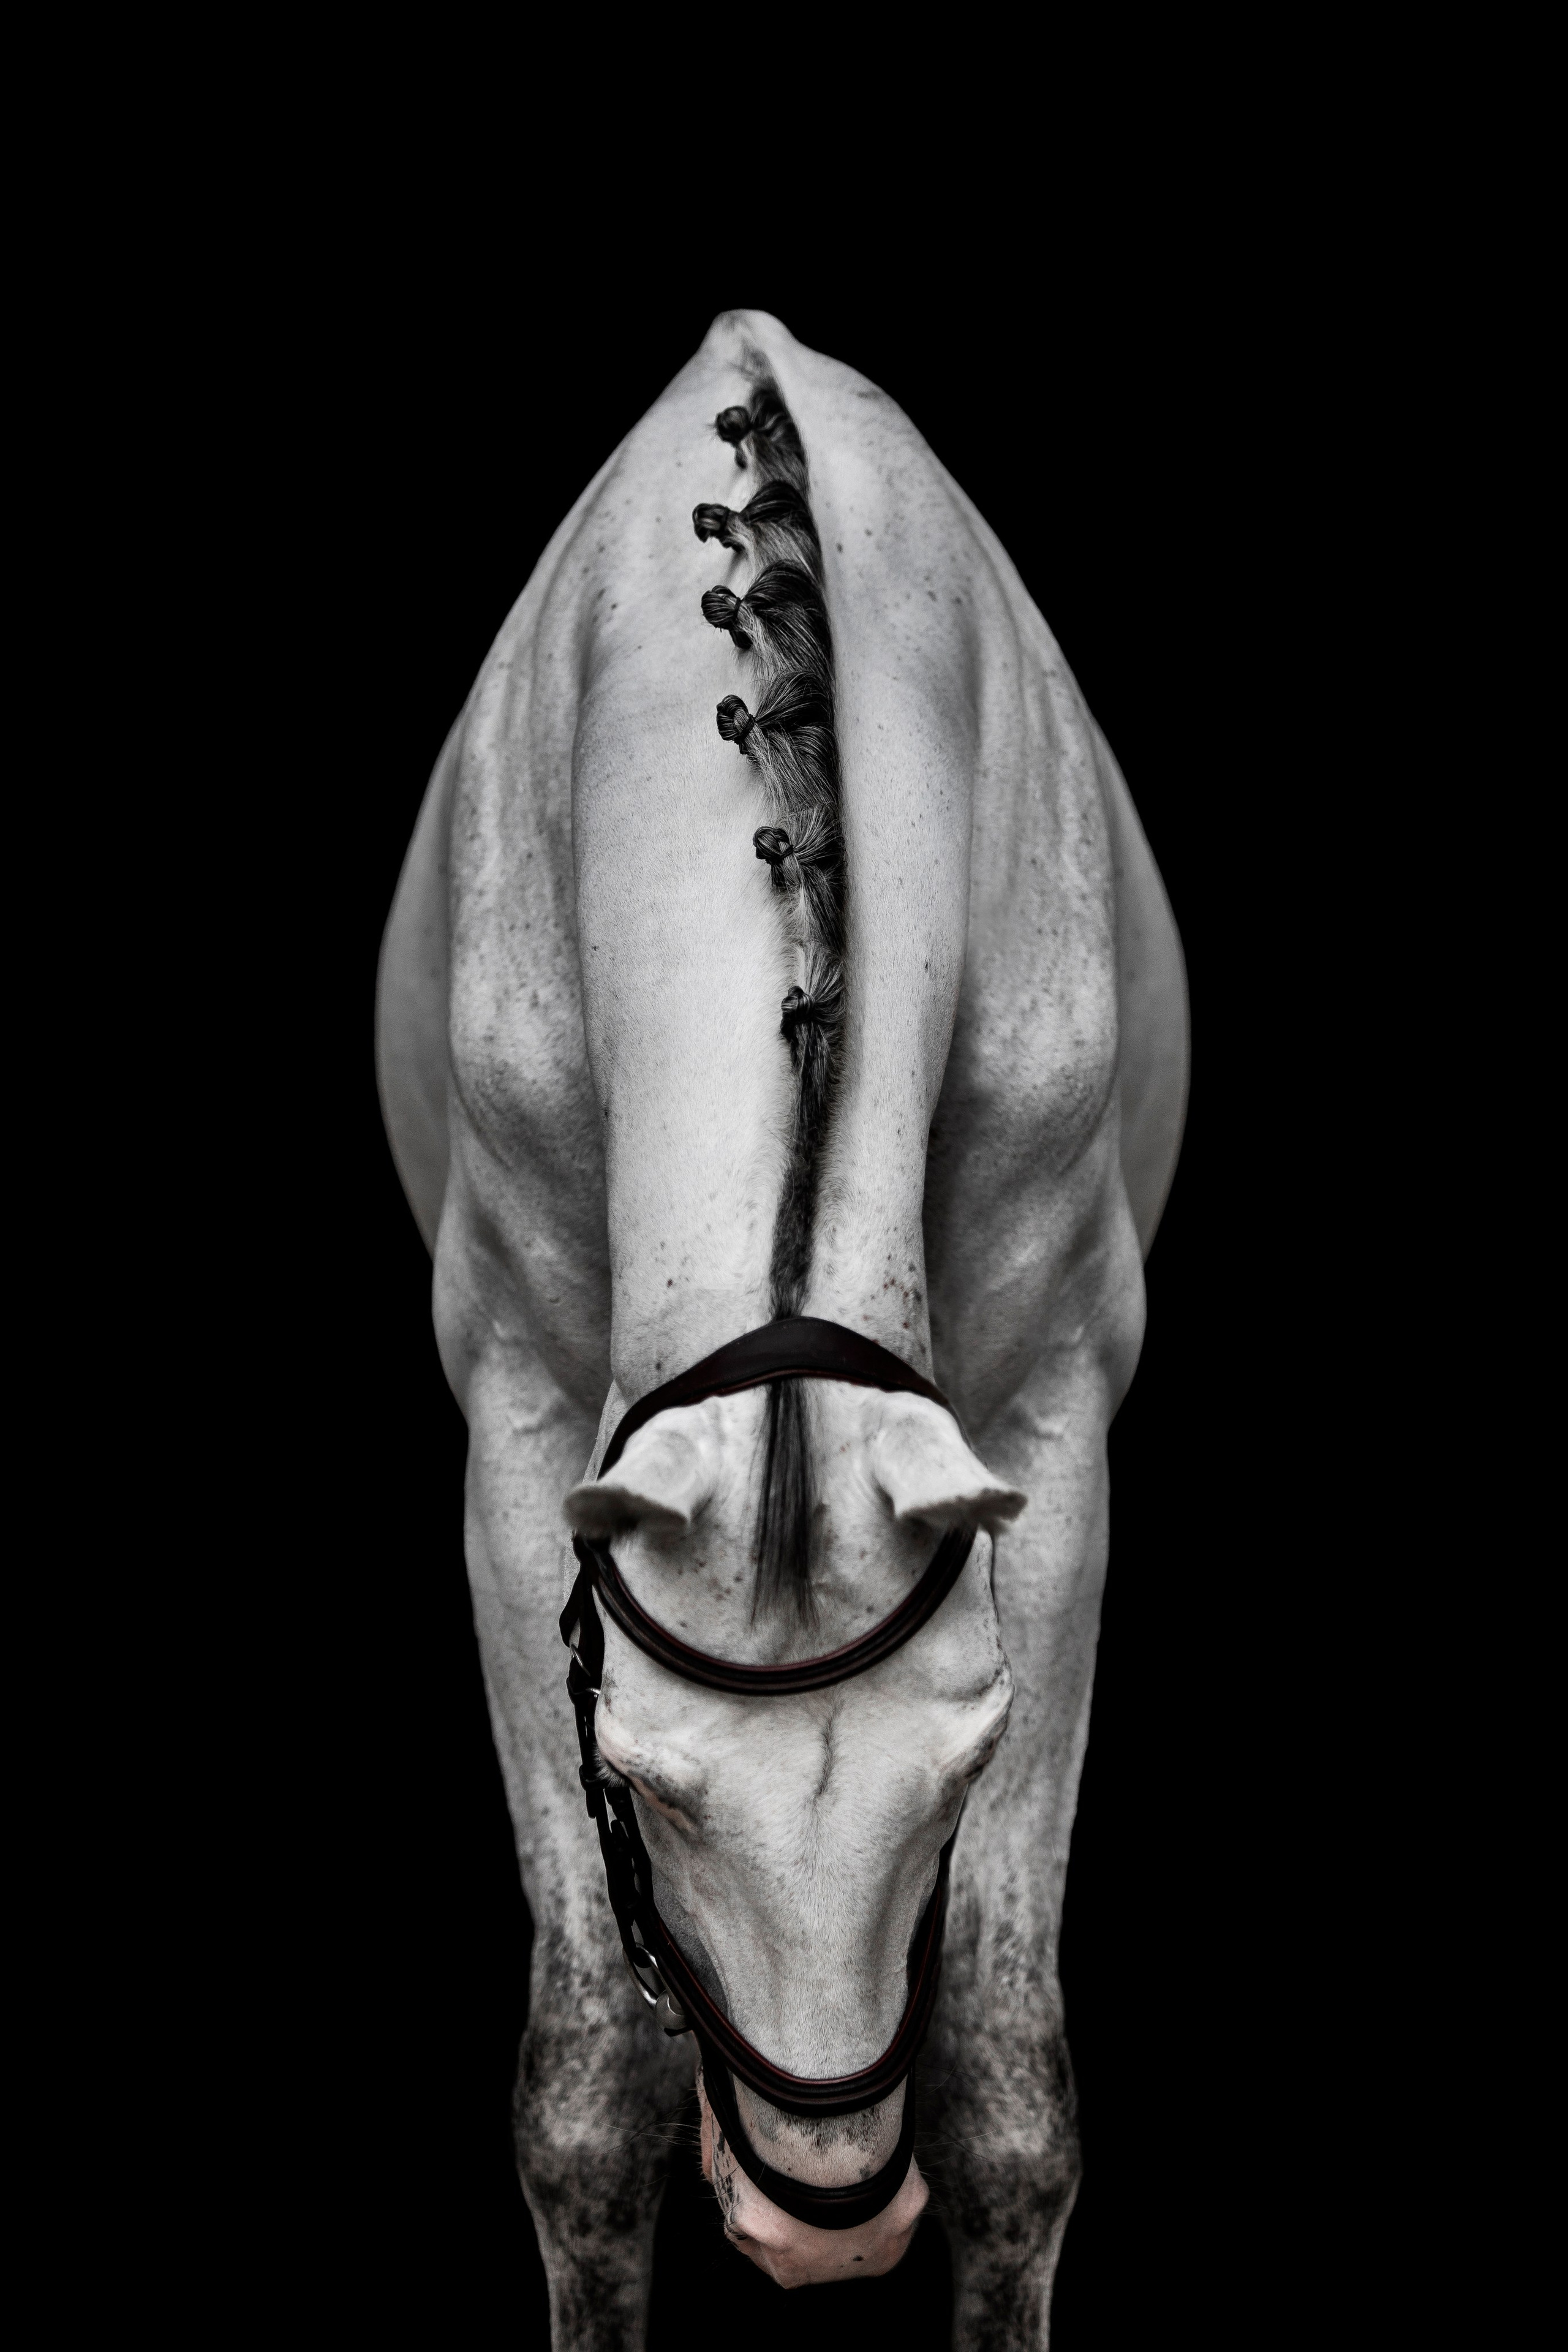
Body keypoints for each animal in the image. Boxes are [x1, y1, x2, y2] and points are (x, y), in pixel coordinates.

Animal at [377, 308, 1187, 2345]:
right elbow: (587, 2097)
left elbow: (1010, 2097)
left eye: (971, 1765)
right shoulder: (516, 1449)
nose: (820, 2228)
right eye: (636, 1785)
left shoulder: (1054, 1431)